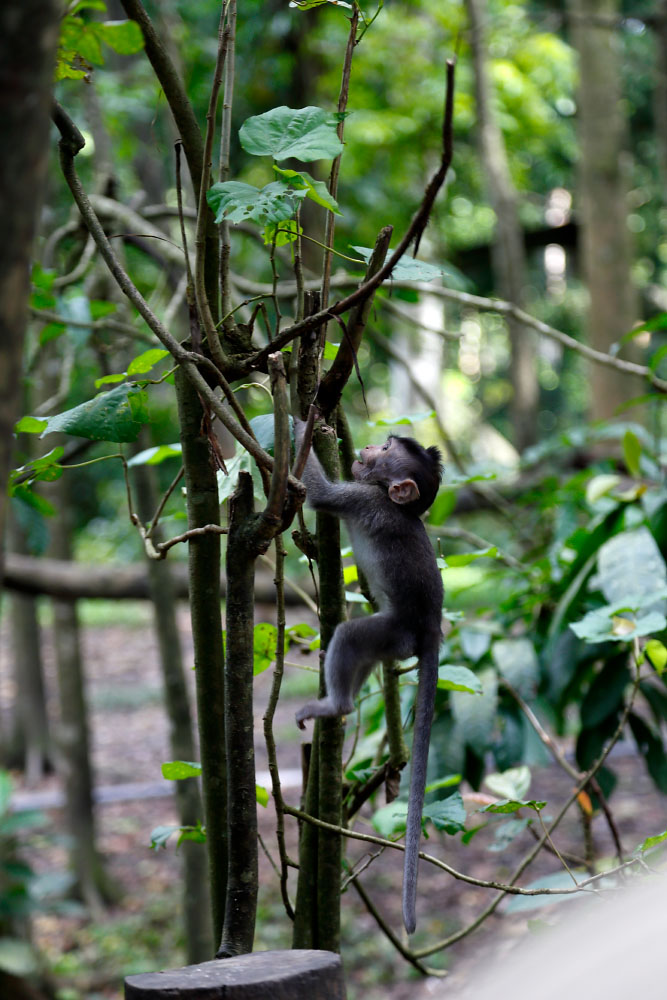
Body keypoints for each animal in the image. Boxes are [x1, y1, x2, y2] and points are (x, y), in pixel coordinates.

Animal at [293, 418, 444, 934]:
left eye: (384, 451)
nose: (368, 445)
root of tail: (431, 628)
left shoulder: (364, 499)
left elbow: (320, 496)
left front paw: (299, 419)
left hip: (394, 630)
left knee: (350, 633)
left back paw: (333, 704)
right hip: (394, 642)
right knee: (359, 651)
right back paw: (339, 706)